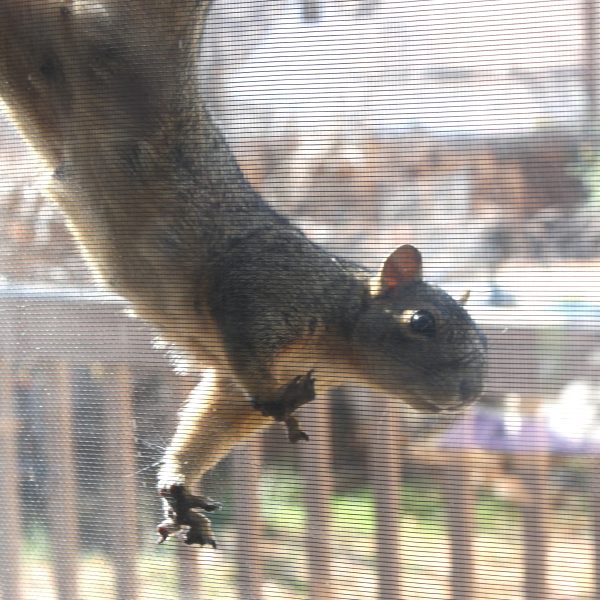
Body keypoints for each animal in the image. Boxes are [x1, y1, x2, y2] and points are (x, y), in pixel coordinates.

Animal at [0, 0, 488, 548]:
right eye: (421, 322)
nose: (469, 393)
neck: (340, 344)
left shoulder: (234, 389)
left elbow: (211, 418)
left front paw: (179, 485)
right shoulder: (263, 285)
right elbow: (246, 343)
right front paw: (278, 400)